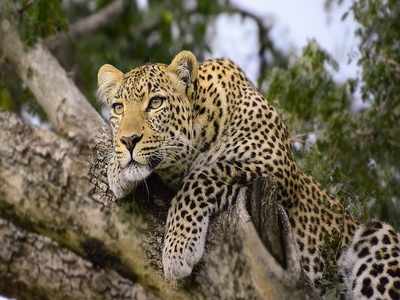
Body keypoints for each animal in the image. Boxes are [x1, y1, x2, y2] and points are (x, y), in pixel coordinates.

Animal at [96, 51, 356, 286]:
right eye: (118, 108)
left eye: (156, 103)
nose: (128, 140)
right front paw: (117, 169)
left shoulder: (275, 165)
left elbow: (202, 176)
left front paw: (179, 248)